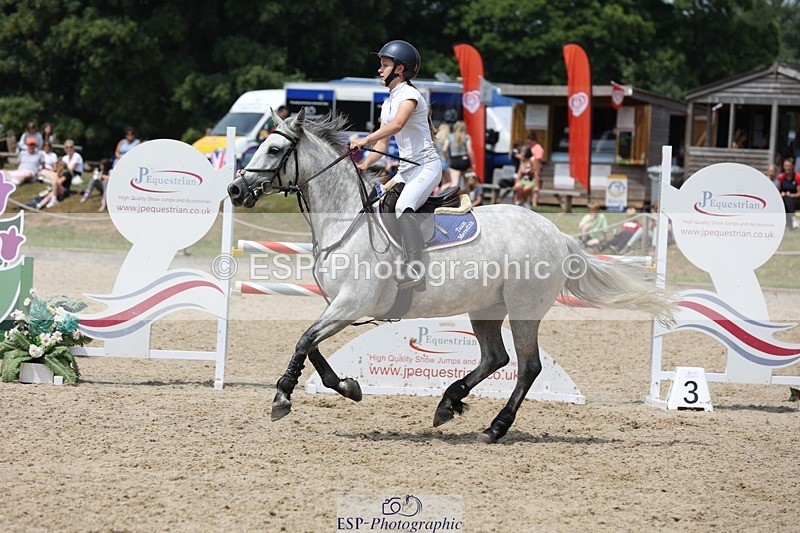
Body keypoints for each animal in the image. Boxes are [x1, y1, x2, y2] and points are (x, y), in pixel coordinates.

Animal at [228, 108, 673, 444]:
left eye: (274, 148)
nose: (235, 190)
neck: (345, 221)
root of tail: (556, 234)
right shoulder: (337, 306)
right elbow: (311, 345)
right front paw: (348, 387)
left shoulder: (351, 303)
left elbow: (304, 340)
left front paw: (282, 398)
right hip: (487, 308)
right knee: (496, 357)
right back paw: (448, 403)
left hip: (524, 309)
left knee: (527, 367)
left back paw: (494, 428)